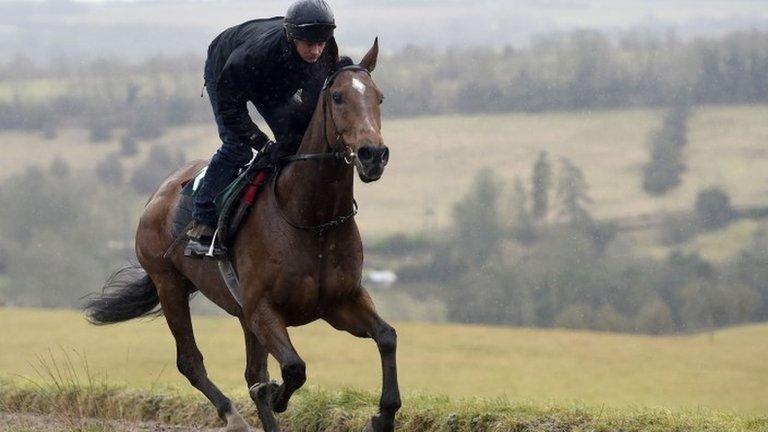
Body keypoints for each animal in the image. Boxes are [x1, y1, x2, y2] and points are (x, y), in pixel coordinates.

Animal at [85, 40, 402, 432]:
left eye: (379, 97)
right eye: (338, 97)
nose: (373, 154)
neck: (312, 219)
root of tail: (160, 193)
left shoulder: (340, 303)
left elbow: (387, 337)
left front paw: (382, 416)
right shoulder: (263, 309)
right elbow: (292, 369)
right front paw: (275, 396)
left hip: (239, 313)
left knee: (251, 370)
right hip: (169, 283)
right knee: (191, 361)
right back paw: (233, 415)